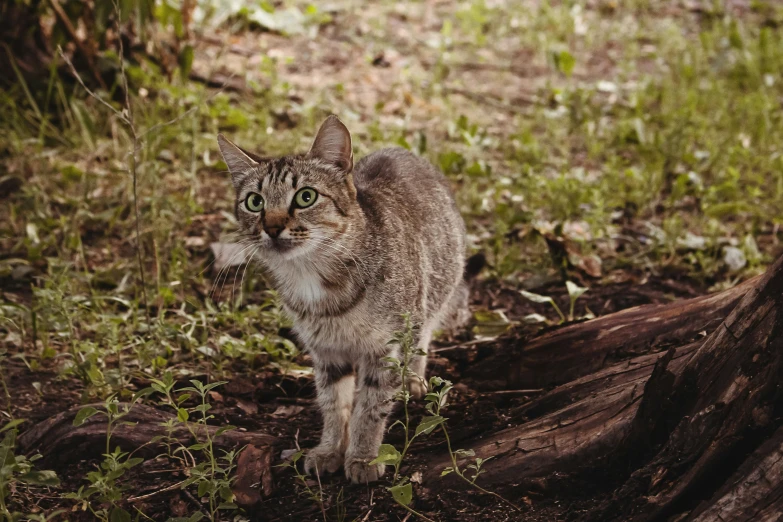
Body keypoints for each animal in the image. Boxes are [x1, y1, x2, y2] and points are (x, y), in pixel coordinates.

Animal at [217, 116, 468, 482]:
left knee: (422, 333)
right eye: (255, 202)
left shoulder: (385, 348)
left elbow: (371, 406)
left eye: (305, 197)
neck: (314, 279)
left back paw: (413, 379)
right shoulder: (326, 353)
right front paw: (330, 449)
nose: (272, 228)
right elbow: (334, 404)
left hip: (434, 289)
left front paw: (363, 456)